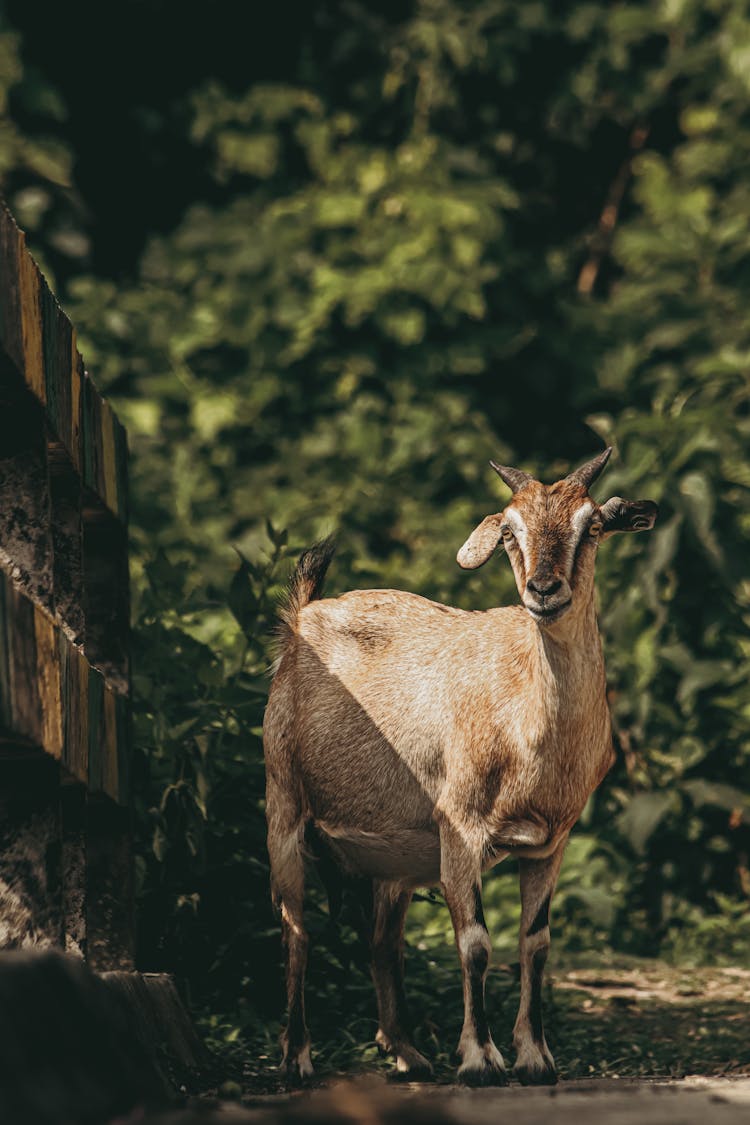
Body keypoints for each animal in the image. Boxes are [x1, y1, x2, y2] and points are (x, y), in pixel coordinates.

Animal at [264, 445, 656, 1080]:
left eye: (593, 526)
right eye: (510, 532)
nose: (544, 591)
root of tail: (300, 618)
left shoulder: (551, 842)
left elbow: (535, 945)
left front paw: (536, 1058)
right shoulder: (460, 826)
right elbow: (475, 942)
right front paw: (479, 1059)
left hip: (392, 860)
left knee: (382, 942)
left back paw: (407, 1052)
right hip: (284, 803)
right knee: (295, 926)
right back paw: (297, 1056)